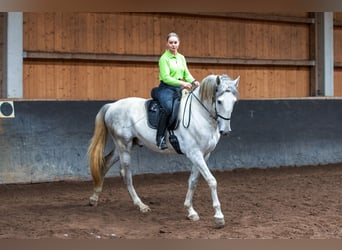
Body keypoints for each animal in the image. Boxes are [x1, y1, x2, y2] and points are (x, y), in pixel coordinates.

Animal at [87, 73, 239, 228]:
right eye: (219, 101)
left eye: (234, 101)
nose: (225, 131)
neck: (200, 115)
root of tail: (112, 105)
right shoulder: (195, 154)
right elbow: (211, 180)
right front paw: (219, 217)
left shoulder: (205, 154)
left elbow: (193, 181)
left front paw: (190, 211)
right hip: (124, 146)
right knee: (126, 174)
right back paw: (141, 205)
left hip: (124, 147)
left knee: (105, 164)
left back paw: (94, 198)